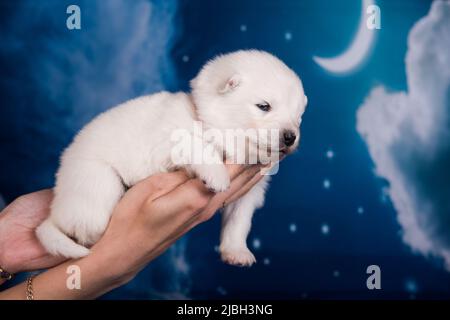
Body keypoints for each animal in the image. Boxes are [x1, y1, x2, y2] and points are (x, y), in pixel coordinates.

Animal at [37, 49, 308, 264]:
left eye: (299, 116)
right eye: (264, 106)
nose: (290, 137)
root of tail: (56, 205)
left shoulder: (248, 195)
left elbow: (239, 222)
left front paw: (236, 252)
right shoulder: (167, 142)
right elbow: (198, 146)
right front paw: (217, 175)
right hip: (97, 186)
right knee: (75, 228)